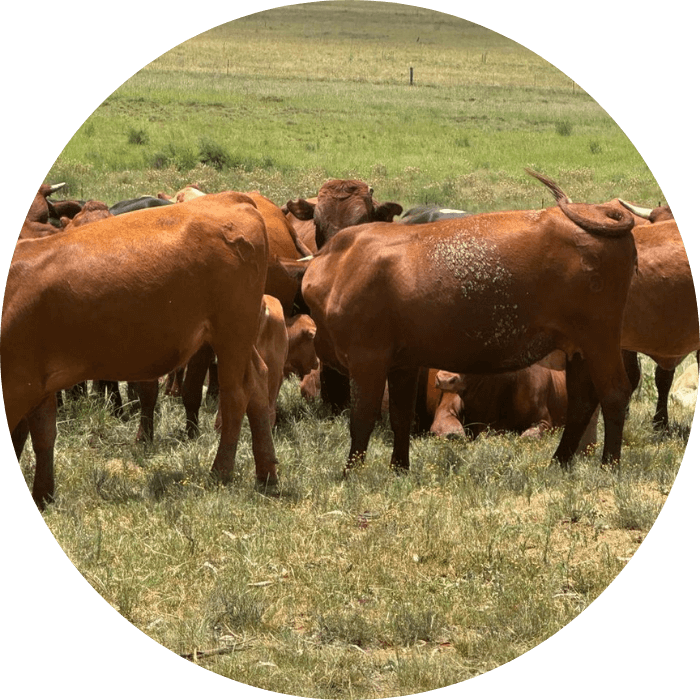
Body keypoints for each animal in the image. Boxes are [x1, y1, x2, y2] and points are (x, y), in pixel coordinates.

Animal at [5, 191, 278, 509]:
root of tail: (233, 198)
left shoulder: (19, 382)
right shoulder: (37, 383)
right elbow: (42, 436)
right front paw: (44, 495)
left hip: (232, 333)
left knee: (236, 394)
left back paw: (220, 471)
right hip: (238, 339)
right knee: (257, 383)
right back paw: (267, 475)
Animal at [300, 169, 637, 475]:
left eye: (364, 215)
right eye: (317, 222)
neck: (342, 263)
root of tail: (595, 211)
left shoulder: (367, 359)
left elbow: (361, 418)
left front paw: (351, 475)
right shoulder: (403, 363)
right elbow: (400, 416)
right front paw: (399, 469)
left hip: (600, 339)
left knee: (614, 393)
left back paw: (610, 464)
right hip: (579, 347)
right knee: (582, 401)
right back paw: (559, 461)